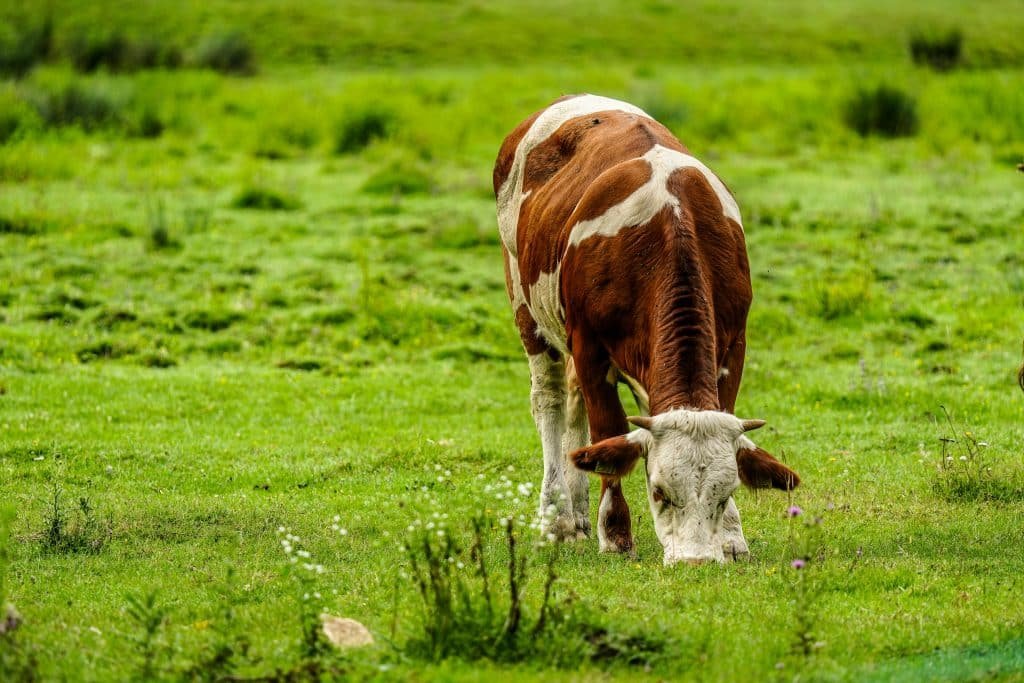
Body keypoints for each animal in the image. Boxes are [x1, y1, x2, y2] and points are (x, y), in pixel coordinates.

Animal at [494, 94, 800, 566]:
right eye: (658, 493)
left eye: (725, 494)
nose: (695, 561)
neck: (672, 228)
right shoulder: (590, 345)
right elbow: (608, 434)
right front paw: (615, 532)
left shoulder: (734, 344)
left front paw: (732, 537)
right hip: (526, 303)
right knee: (549, 401)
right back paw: (557, 519)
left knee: (576, 409)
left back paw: (576, 517)